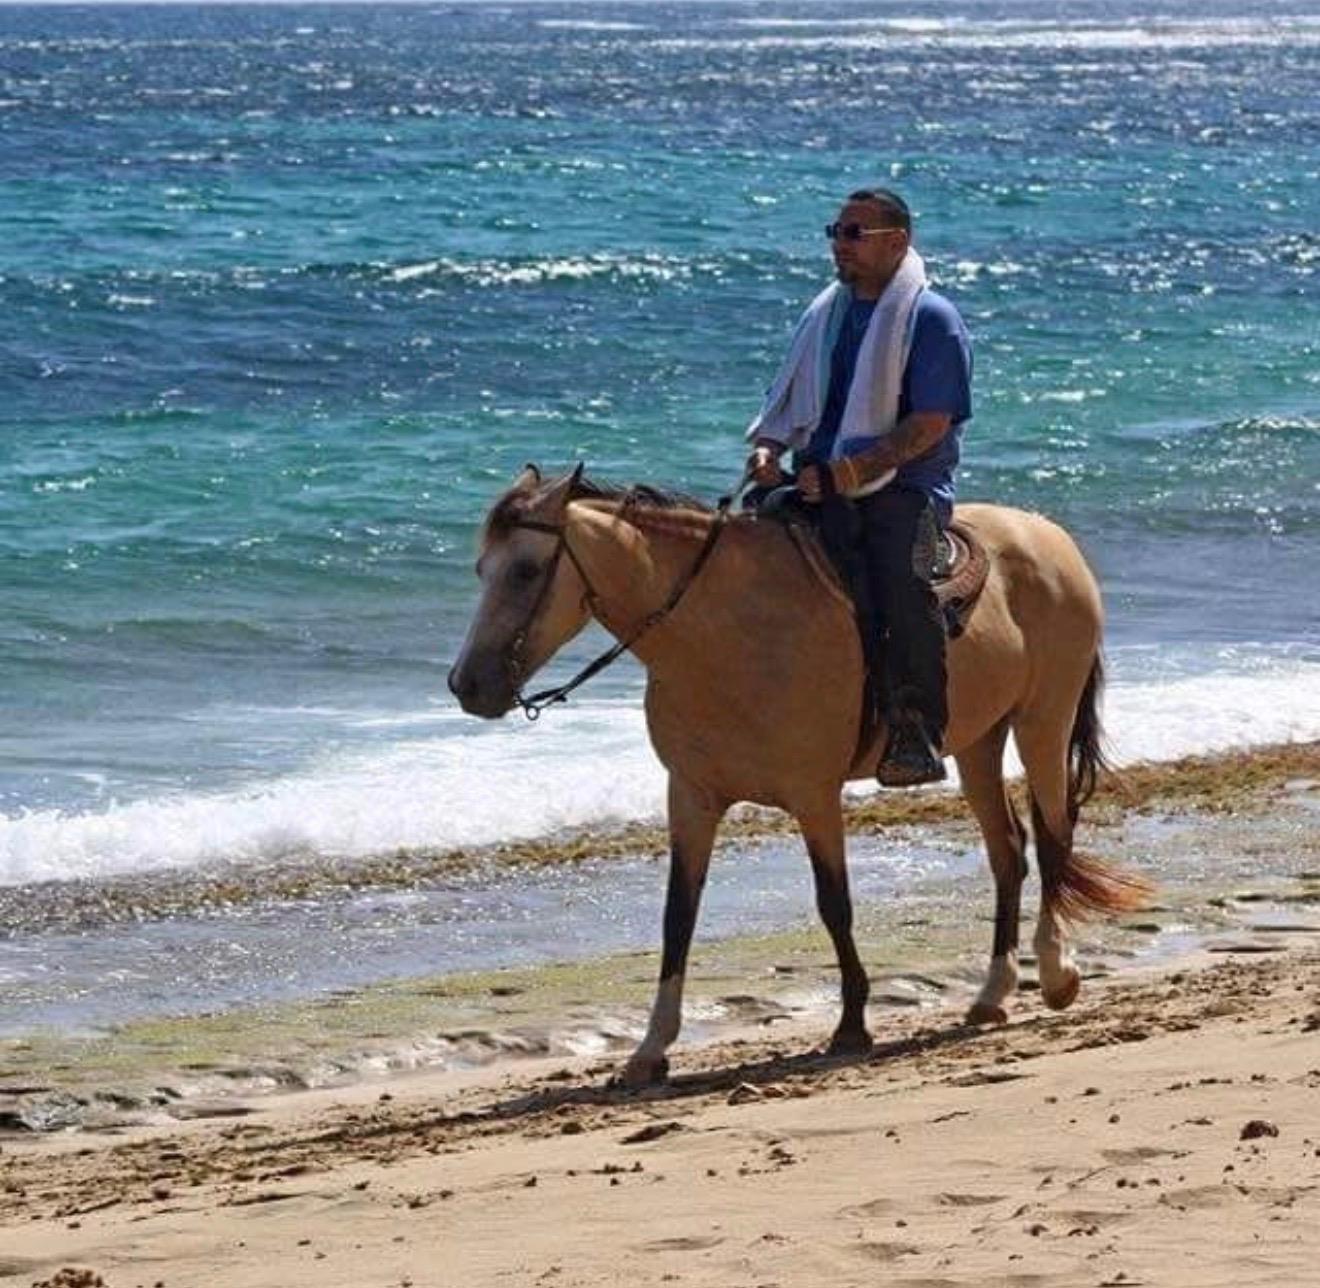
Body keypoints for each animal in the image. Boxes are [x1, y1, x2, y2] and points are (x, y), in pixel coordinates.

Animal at [449, 464, 1149, 1087]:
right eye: (480, 570)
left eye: (526, 569)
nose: (467, 685)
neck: (724, 634)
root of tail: (1049, 535)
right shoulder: (692, 797)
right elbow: (679, 916)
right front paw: (650, 1050)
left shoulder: (814, 796)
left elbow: (833, 904)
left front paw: (851, 1025)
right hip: (979, 739)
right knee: (1009, 852)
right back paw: (992, 994)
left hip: (1044, 718)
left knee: (1054, 834)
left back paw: (1056, 975)